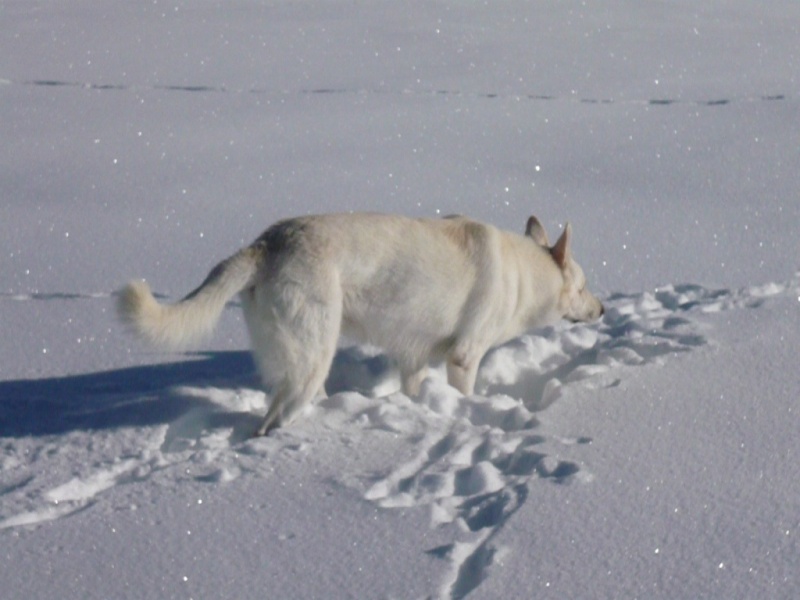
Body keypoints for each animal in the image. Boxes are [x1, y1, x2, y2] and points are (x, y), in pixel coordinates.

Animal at [119, 213, 604, 434]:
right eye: (584, 286)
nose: (602, 311)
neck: (524, 273)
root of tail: (266, 243)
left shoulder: (414, 361)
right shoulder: (464, 359)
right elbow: (465, 394)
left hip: (306, 358)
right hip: (314, 355)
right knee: (274, 421)